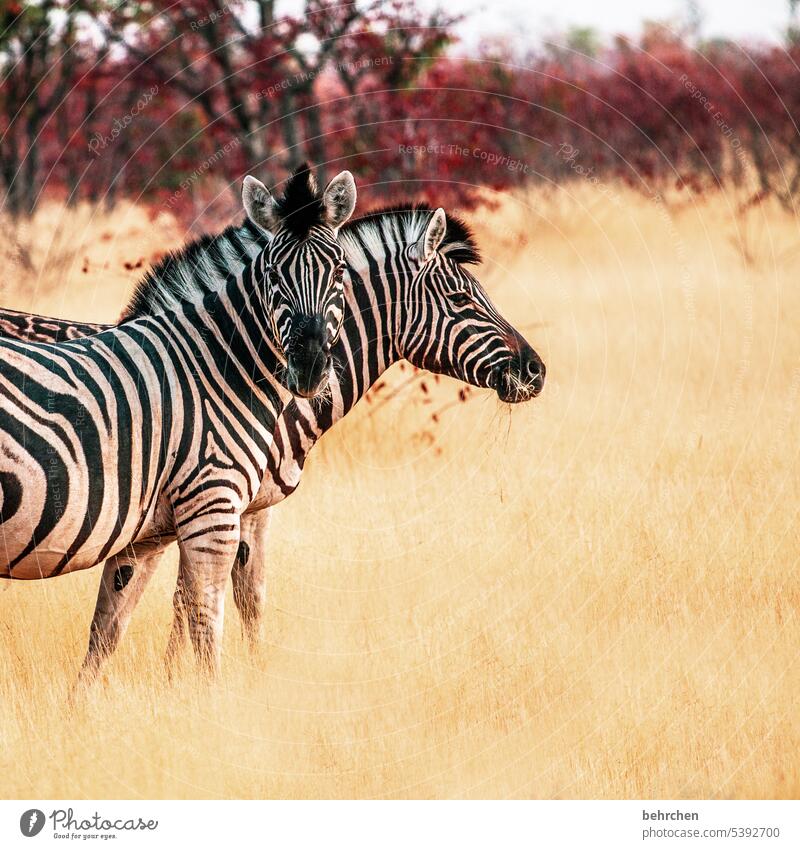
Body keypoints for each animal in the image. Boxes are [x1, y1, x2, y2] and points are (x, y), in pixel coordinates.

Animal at [0, 164, 356, 676]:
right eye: (273, 273)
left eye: (340, 270)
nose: (309, 367)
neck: (215, 366)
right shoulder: (217, 507)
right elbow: (210, 624)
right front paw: (211, 693)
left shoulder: (160, 527)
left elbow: (116, 624)